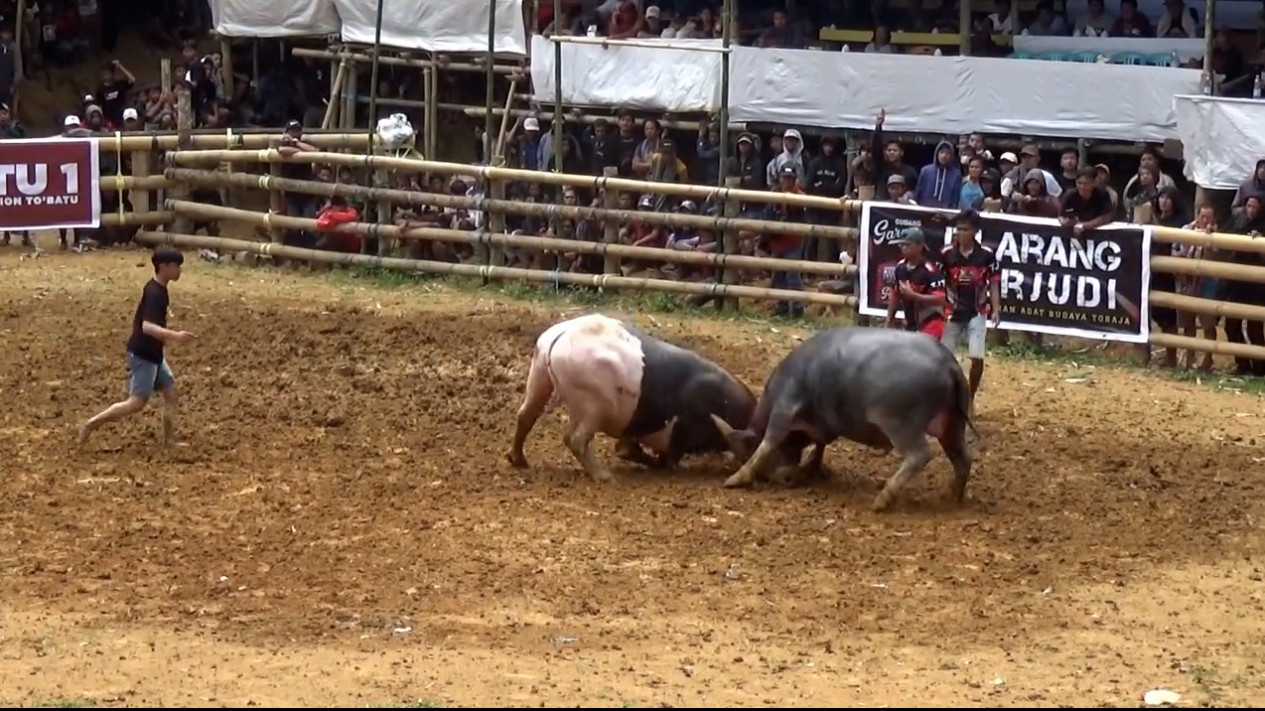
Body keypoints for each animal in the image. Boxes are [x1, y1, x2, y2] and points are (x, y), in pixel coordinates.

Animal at [713, 326, 976, 508]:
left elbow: (769, 441)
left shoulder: (784, 407)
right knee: (963, 458)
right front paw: (814, 469)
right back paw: (953, 495)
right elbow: (820, 444)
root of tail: (948, 363)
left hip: (899, 424)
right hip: (953, 425)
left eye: (747, 447)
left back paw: (884, 498)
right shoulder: (823, 425)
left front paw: (737, 477)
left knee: (920, 454)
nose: (785, 478)